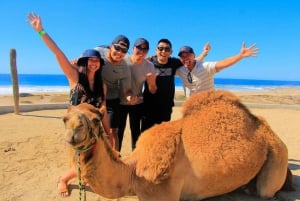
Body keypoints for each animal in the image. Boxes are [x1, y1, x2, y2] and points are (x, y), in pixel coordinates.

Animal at [62, 90, 292, 200]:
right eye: (65, 119)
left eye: (96, 120)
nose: (74, 132)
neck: (133, 172)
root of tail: (268, 130)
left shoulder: (163, 193)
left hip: (277, 154)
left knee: (266, 191)